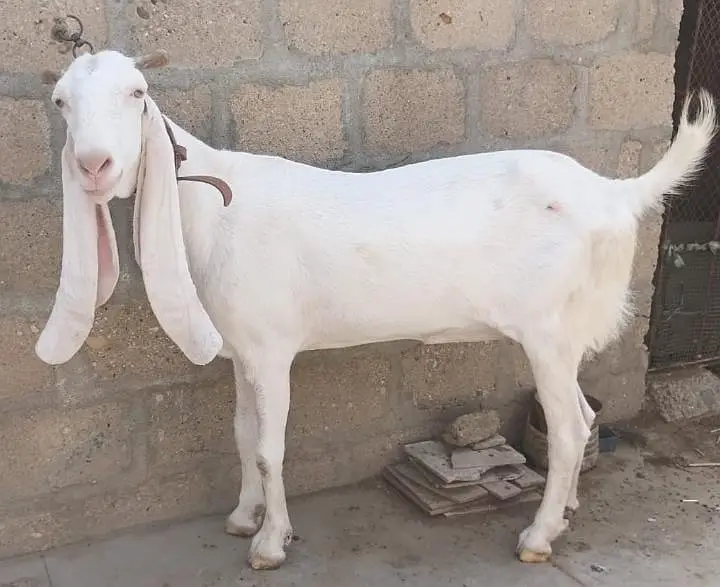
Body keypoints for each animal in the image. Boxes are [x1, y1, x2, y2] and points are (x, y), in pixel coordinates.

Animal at [35, 49, 716, 570]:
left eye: (137, 92)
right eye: (61, 102)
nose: (93, 166)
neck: (216, 208)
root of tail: (614, 193)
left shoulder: (273, 349)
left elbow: (271, 447)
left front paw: (270, 543)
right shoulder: (243, 349)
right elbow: (243, 434)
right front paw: (243, 515)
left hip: (546, 331)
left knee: (571, 428)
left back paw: (538, 536)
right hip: (564, 334)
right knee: (580, 414)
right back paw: (566, 508)